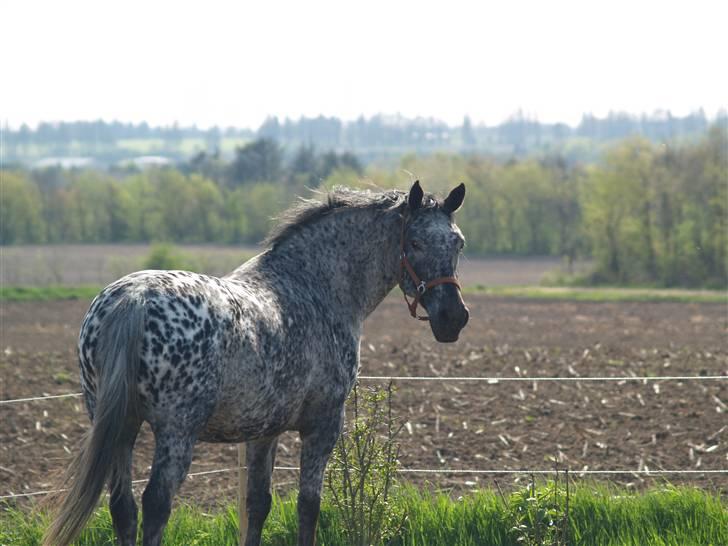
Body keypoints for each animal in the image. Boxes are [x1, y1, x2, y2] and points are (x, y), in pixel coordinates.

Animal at [45, 180, 470, 544]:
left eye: (458, 243)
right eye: (414, 241)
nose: (453, 317)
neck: (313, 286)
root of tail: (134, 299)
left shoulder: (264, 431)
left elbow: (258, 504)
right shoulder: (322, 426)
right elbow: (308, 507)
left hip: (122, 427)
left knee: (123, 507)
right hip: (176, 431)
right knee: (155, 505)